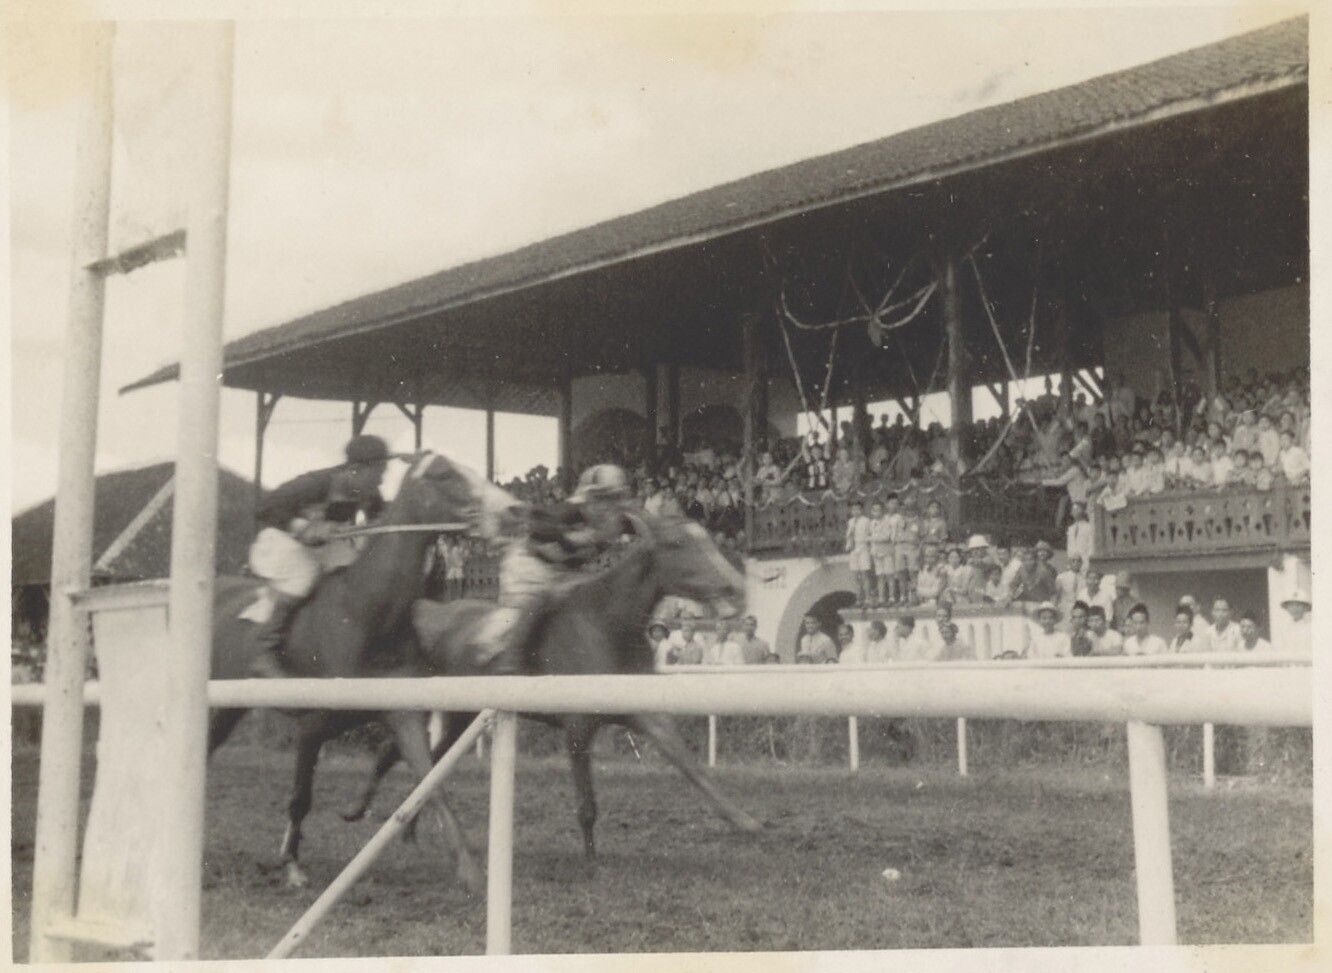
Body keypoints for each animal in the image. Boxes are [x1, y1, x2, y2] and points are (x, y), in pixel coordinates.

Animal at [206, 451, 525, 891]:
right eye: (445, 474)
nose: (513, 510)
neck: (365, 613)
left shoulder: (404, 713)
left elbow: (429, 784)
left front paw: (471, 872)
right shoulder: (311, 724)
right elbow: (300, 797)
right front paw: (291, 865)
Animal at [340, 512, 764, 865]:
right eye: (676, 543)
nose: (736, 587)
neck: (607, 624)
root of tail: (430, 612)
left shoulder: (645, 711)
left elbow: (691, 766)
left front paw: (744, 820)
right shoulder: (577, 725)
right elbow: (586, 805)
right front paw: (591, 861)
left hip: (463, 715)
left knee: (426, 761)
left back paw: (407, 832)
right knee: (395, 752)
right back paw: (357, 809)